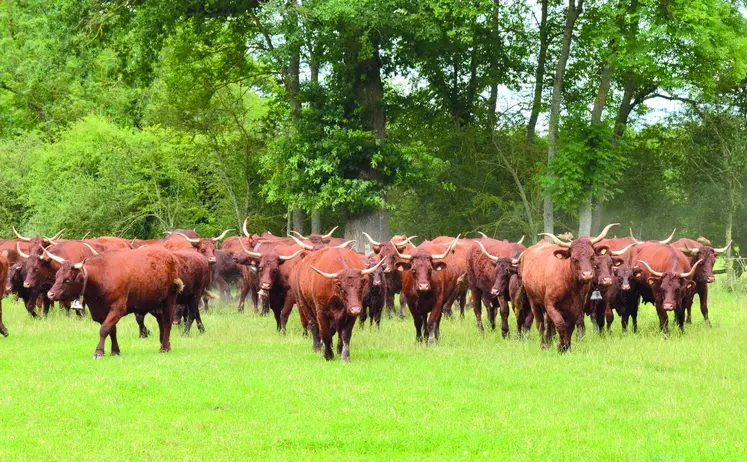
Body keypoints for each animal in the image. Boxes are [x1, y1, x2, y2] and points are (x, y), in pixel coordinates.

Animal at [45, 245, 183, 358]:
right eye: (57, 275)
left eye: (67, 280)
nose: (50, 294)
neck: (101, 276)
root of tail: (170, 256)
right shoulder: (100, 311)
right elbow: (112, 330)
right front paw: (115, 351)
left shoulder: (118, 308)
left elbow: (104, 329)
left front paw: (99, 352)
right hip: (154, 303)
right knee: (160, 321)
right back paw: (165, 344)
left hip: (170, 299)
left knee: (167, 322)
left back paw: (164, 347)